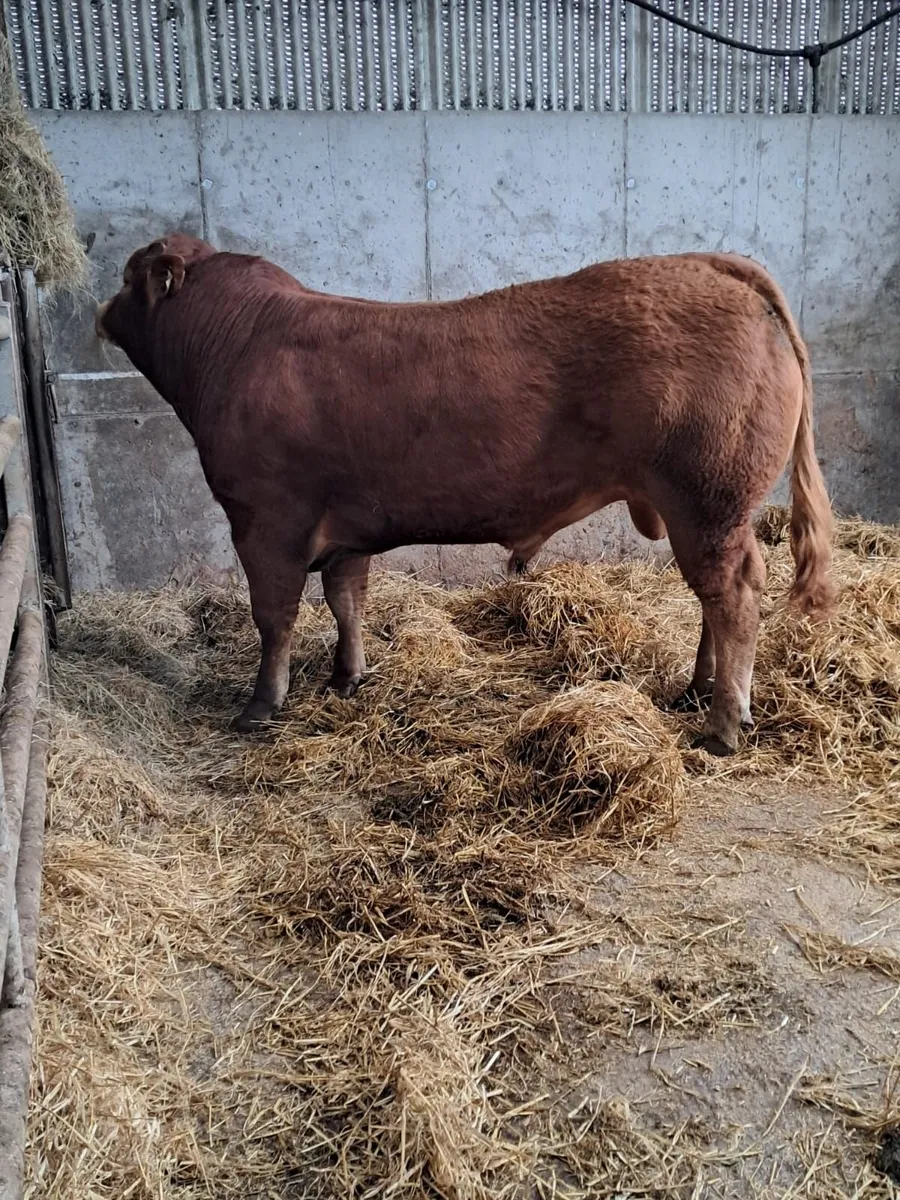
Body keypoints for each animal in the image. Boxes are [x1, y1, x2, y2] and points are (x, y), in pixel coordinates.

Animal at [95, 234, 833, 756]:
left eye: (130, 276)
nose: (99, 311)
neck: (240, 341)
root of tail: (710, 265)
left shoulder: (264, 519)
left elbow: (274, 617)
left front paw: (259, 706)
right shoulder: (345, 528)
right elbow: (345, 600)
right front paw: (346, 678)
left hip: (710, 501)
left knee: (734, 594)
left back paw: (724, 722)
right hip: (702, 510)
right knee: (713, 597)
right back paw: (696, 690)